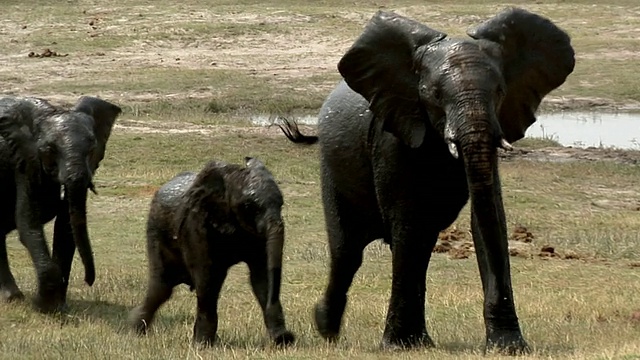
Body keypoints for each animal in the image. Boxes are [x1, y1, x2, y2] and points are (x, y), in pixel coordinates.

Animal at [0, 95, 121, 312]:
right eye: (49, 150)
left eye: (92, 150)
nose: (88, 281)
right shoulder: (24, 161)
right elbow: (27, 224)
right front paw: (43, 307)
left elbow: (66, 228)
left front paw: (58, 307)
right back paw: (14, 298)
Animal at [132, 157, 298, 346]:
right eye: (249, 206)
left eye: (281, 203)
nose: (289, 337)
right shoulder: (196, 224)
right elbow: (207, 276)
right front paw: (202, 345)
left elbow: (262, 275)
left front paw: (282, 341)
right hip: (155, 233)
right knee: (161, 287)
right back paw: (134, 329)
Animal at [280, 7, 576, 354]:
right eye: (433, 95)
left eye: (501, 92)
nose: (507, 344)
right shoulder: (393, 133)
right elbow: (409, 223)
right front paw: (398, 347)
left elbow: (487, 218)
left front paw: (509, 347)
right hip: (332, 166)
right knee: (348, 252)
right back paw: (327, 328)